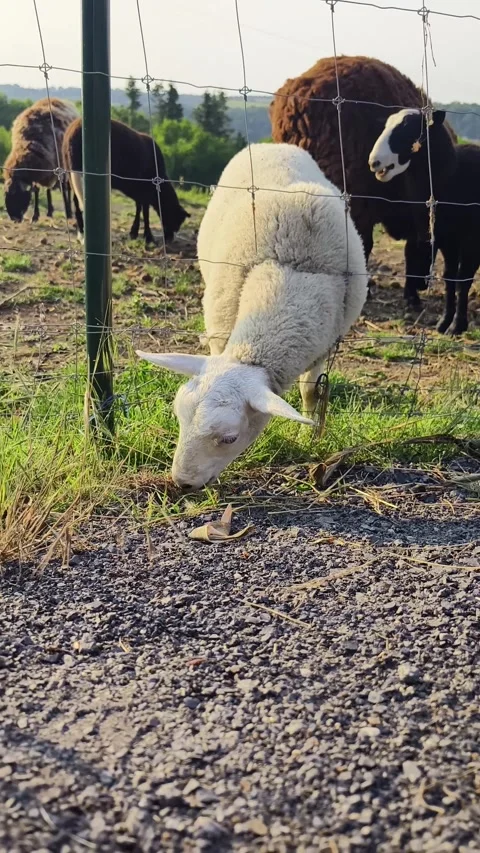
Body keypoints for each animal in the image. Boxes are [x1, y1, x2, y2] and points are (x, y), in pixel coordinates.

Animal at [62, 118, 189, 248]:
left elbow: (139, 207)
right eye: (177, 221)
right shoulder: (145, 190)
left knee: (76, 202)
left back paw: (81, 235)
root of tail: (74, 132)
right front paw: (148, 237)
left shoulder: (138, 191)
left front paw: (134, 233)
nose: (170, 239)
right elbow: (145, 212)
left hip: (71, 172)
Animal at [136, 143, 368, 489]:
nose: (182, 482)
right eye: (178, 416)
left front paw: (309, 437)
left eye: (229, 438)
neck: (289, 270)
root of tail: (273, 144)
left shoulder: (323, 346)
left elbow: (311, 392)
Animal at [369, 108, 479, 335]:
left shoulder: (472, 240)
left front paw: (457, 325)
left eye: (409, 128)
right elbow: (449, 278)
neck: (453, 176)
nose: (374, 163)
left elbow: (462, 281)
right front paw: (444, 323)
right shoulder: (446, 239)